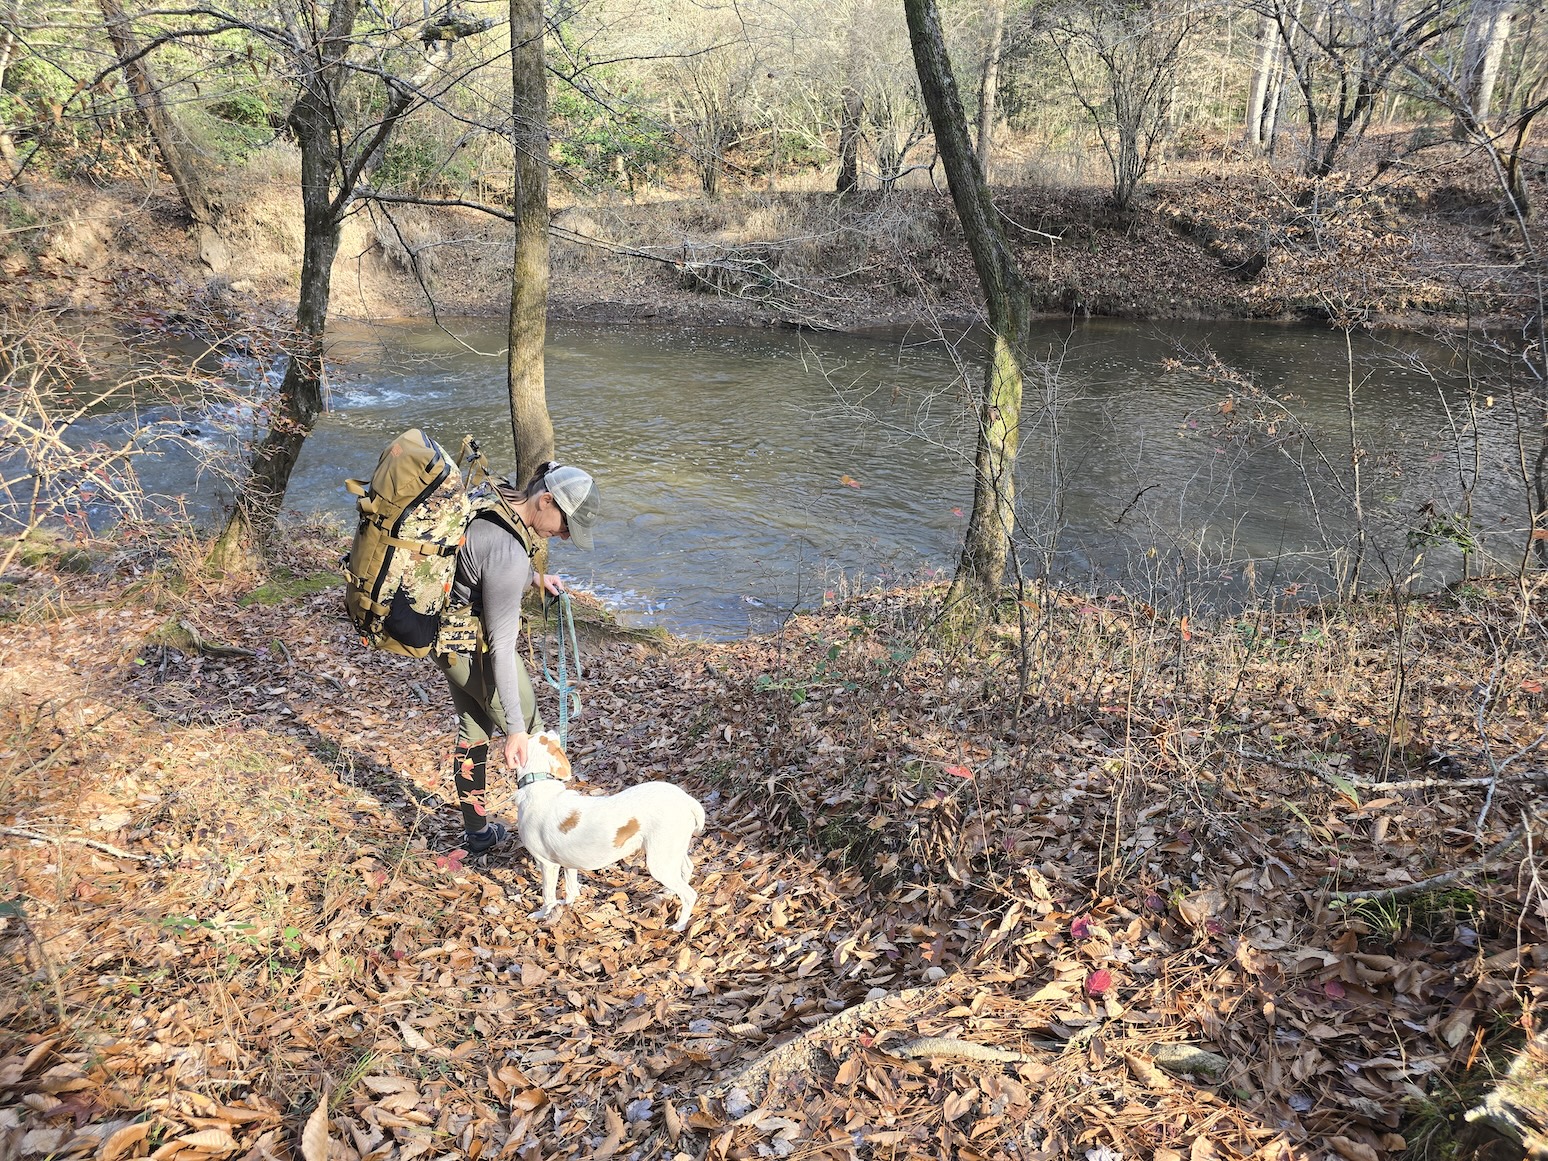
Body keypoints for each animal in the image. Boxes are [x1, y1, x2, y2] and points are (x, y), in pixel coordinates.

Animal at [513, 730, 708, 934]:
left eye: (540, 735)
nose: (552, 730)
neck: (538, 784)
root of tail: (686, 799)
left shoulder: (547, 865)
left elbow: (547, 897)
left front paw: (542, 915)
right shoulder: (568, 863)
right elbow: (571, 889)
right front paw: (567, 904)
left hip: (659, 862)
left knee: (689, 894)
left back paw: (680, 925)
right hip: (672, 851)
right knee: (687, 869)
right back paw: (670, 892)